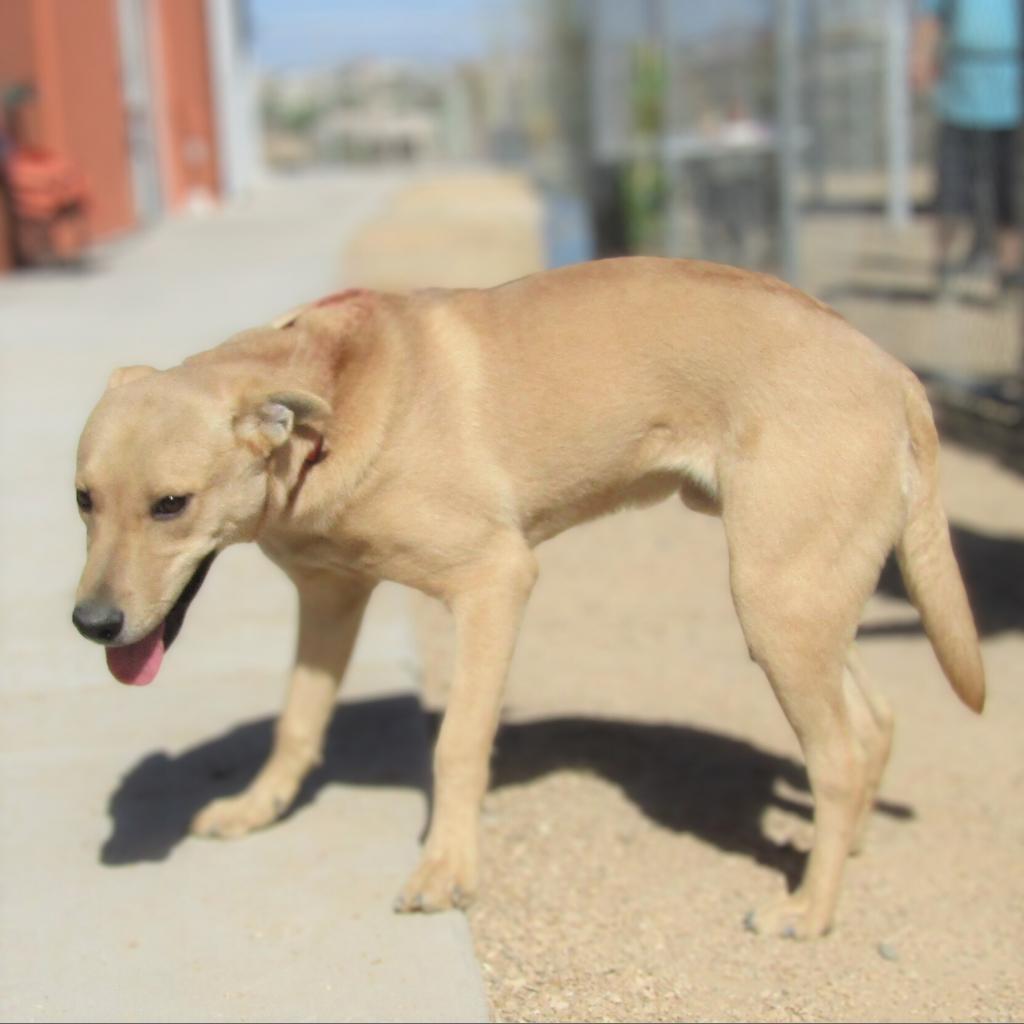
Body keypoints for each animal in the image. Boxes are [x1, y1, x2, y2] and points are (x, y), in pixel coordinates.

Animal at [72, 256, 983, 937]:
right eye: (83, 499)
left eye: (170, 504)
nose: (92, 623)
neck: (328, 409)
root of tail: (894, 369)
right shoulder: (331, 598)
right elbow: (297, 723)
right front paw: (257, 809)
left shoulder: (494, 582)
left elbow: (457, 744)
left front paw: (446, 868)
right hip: (803, 599)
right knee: (874, 722)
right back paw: (844, 850)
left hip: (777, 604)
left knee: (838, 756)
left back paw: (810, 911)